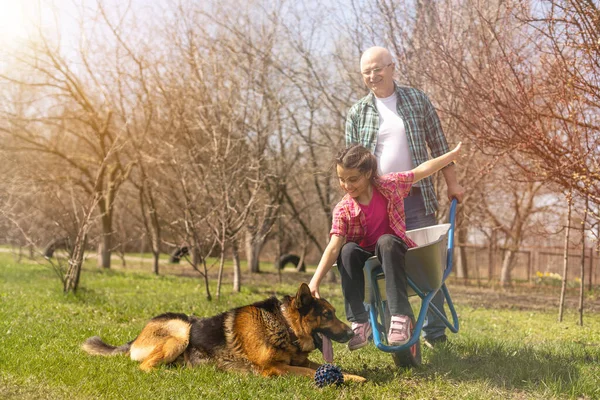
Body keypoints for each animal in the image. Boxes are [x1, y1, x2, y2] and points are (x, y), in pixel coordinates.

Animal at [82, 282, 366, 382]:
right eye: (328, 315)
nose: (352, 335)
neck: (284, 325)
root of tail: (135, 339)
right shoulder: (273, 369)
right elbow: (309, 372)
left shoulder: (300, 360)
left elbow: (328, 367)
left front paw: (353, 376)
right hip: (181, 329)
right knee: (146, 367)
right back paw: (172, 374)